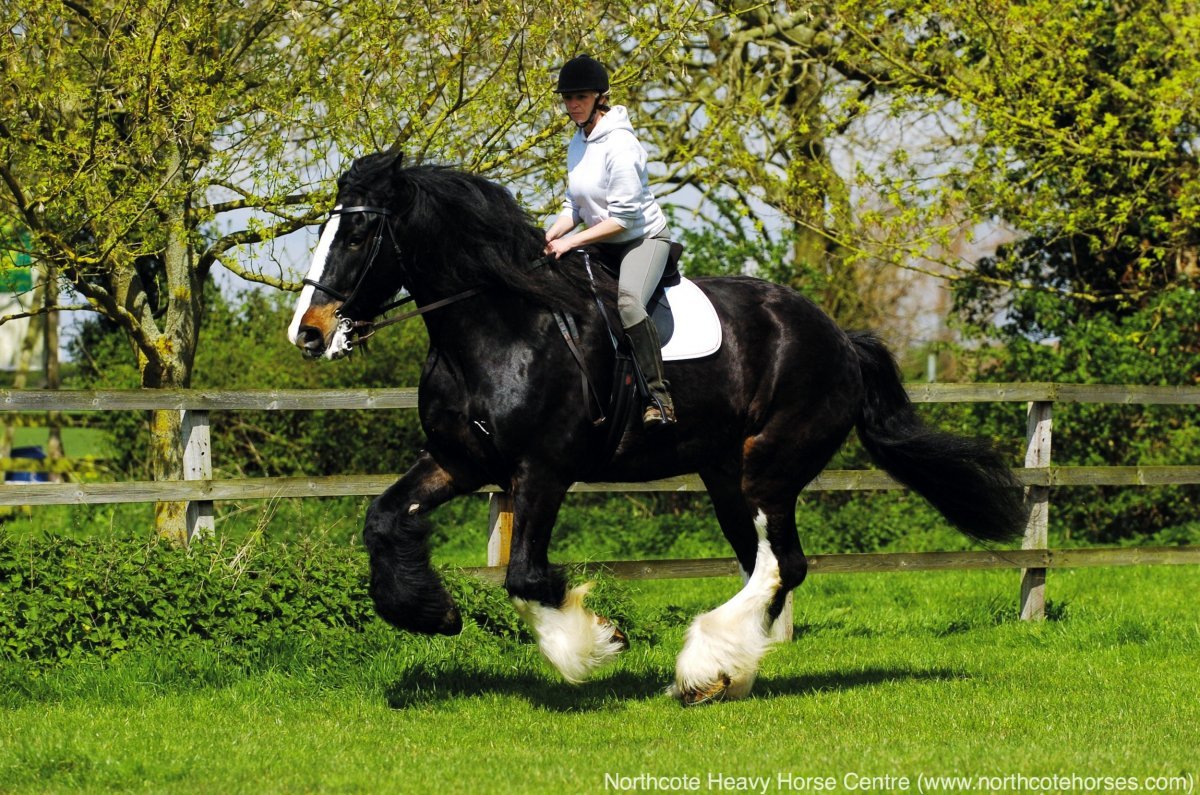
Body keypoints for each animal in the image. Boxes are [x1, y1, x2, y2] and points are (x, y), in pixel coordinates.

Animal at [288, 151, 1025, 704]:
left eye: (357, 233)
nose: (309, 332)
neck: (499, 325)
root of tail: (840, 338)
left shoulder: (542, 470)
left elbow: (526, 577)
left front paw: (593, 643)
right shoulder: (459, 459)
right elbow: (384, 520)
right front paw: (430, 611)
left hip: (769, 467)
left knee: (780, 563)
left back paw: (702, 668)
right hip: (724, 475)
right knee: (766, 564)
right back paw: (726, 672)